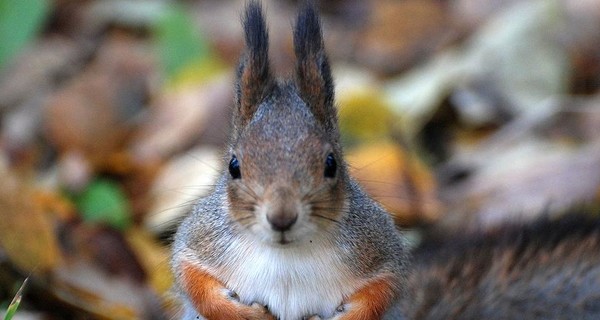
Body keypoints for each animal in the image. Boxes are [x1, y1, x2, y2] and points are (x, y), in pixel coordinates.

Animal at [171, 0, 410, 320]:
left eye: (331, 164)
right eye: (234, 166)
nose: (281, 218)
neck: (285, 255)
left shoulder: (377, 246)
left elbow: (385, 287)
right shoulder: (203, 238)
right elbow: (190, 275)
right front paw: (243, 313)